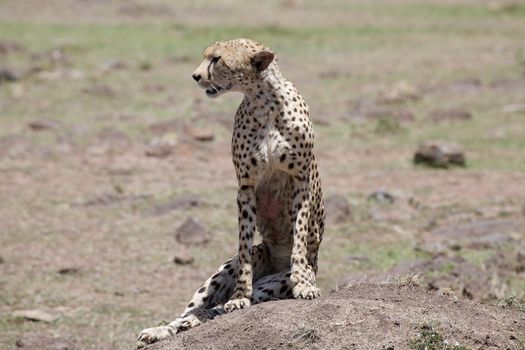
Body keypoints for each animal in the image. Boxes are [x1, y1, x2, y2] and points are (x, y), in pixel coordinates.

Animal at [136, 38, 324, 348]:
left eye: (217, 59)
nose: (195, 76)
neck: (263, 100)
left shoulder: (301, 179)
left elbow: (299, 234)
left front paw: (304, 285)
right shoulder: (245, 185)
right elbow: (244, 243)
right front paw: (238, 297)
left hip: (273, 285)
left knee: (216, 309)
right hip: (222, 273)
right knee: (196, 309)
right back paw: (162, 329)